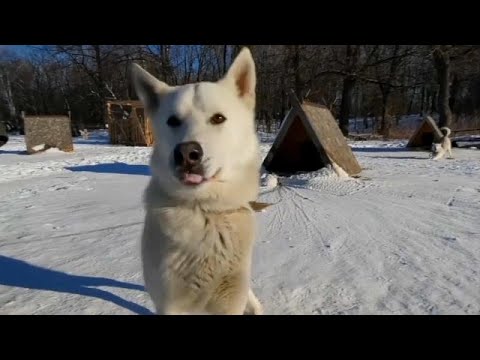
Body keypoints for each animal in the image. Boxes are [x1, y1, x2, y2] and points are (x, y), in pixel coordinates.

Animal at [131, 48, 264, 316]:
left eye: (218, 118)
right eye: (172, 121)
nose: (186, 153)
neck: (205, 210)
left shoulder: (230, 301)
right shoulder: (170, 302)